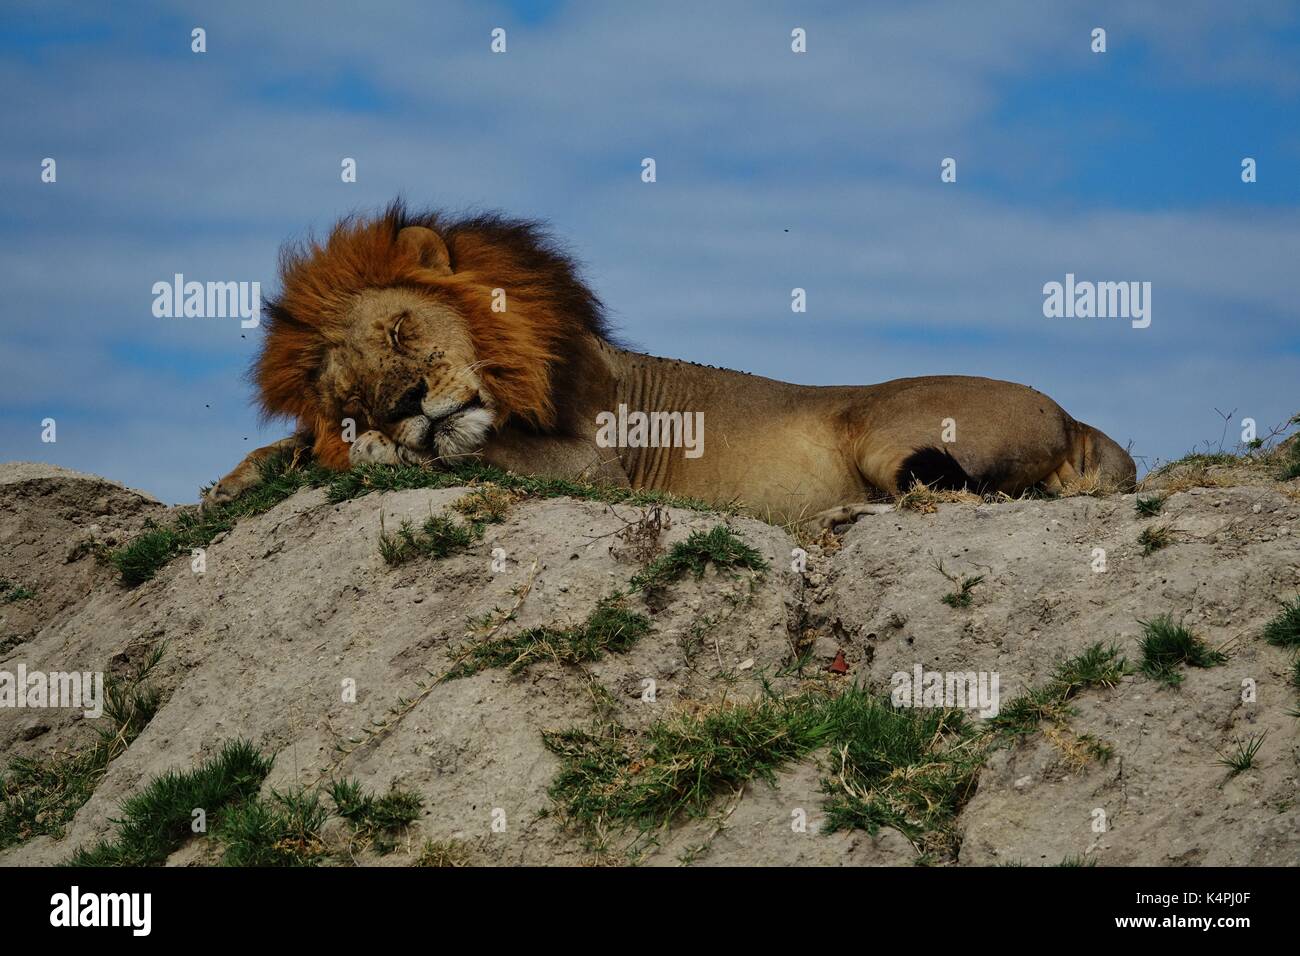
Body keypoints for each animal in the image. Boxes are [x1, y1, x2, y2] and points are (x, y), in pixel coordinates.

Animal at [206, 202, 1136, 528]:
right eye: (353, 398)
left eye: (401, 333)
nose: (403, 406)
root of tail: (1082, 423)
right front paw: (243, 477)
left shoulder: (593, 467)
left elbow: (474, 452)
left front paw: (384, 453)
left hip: (886, 431)